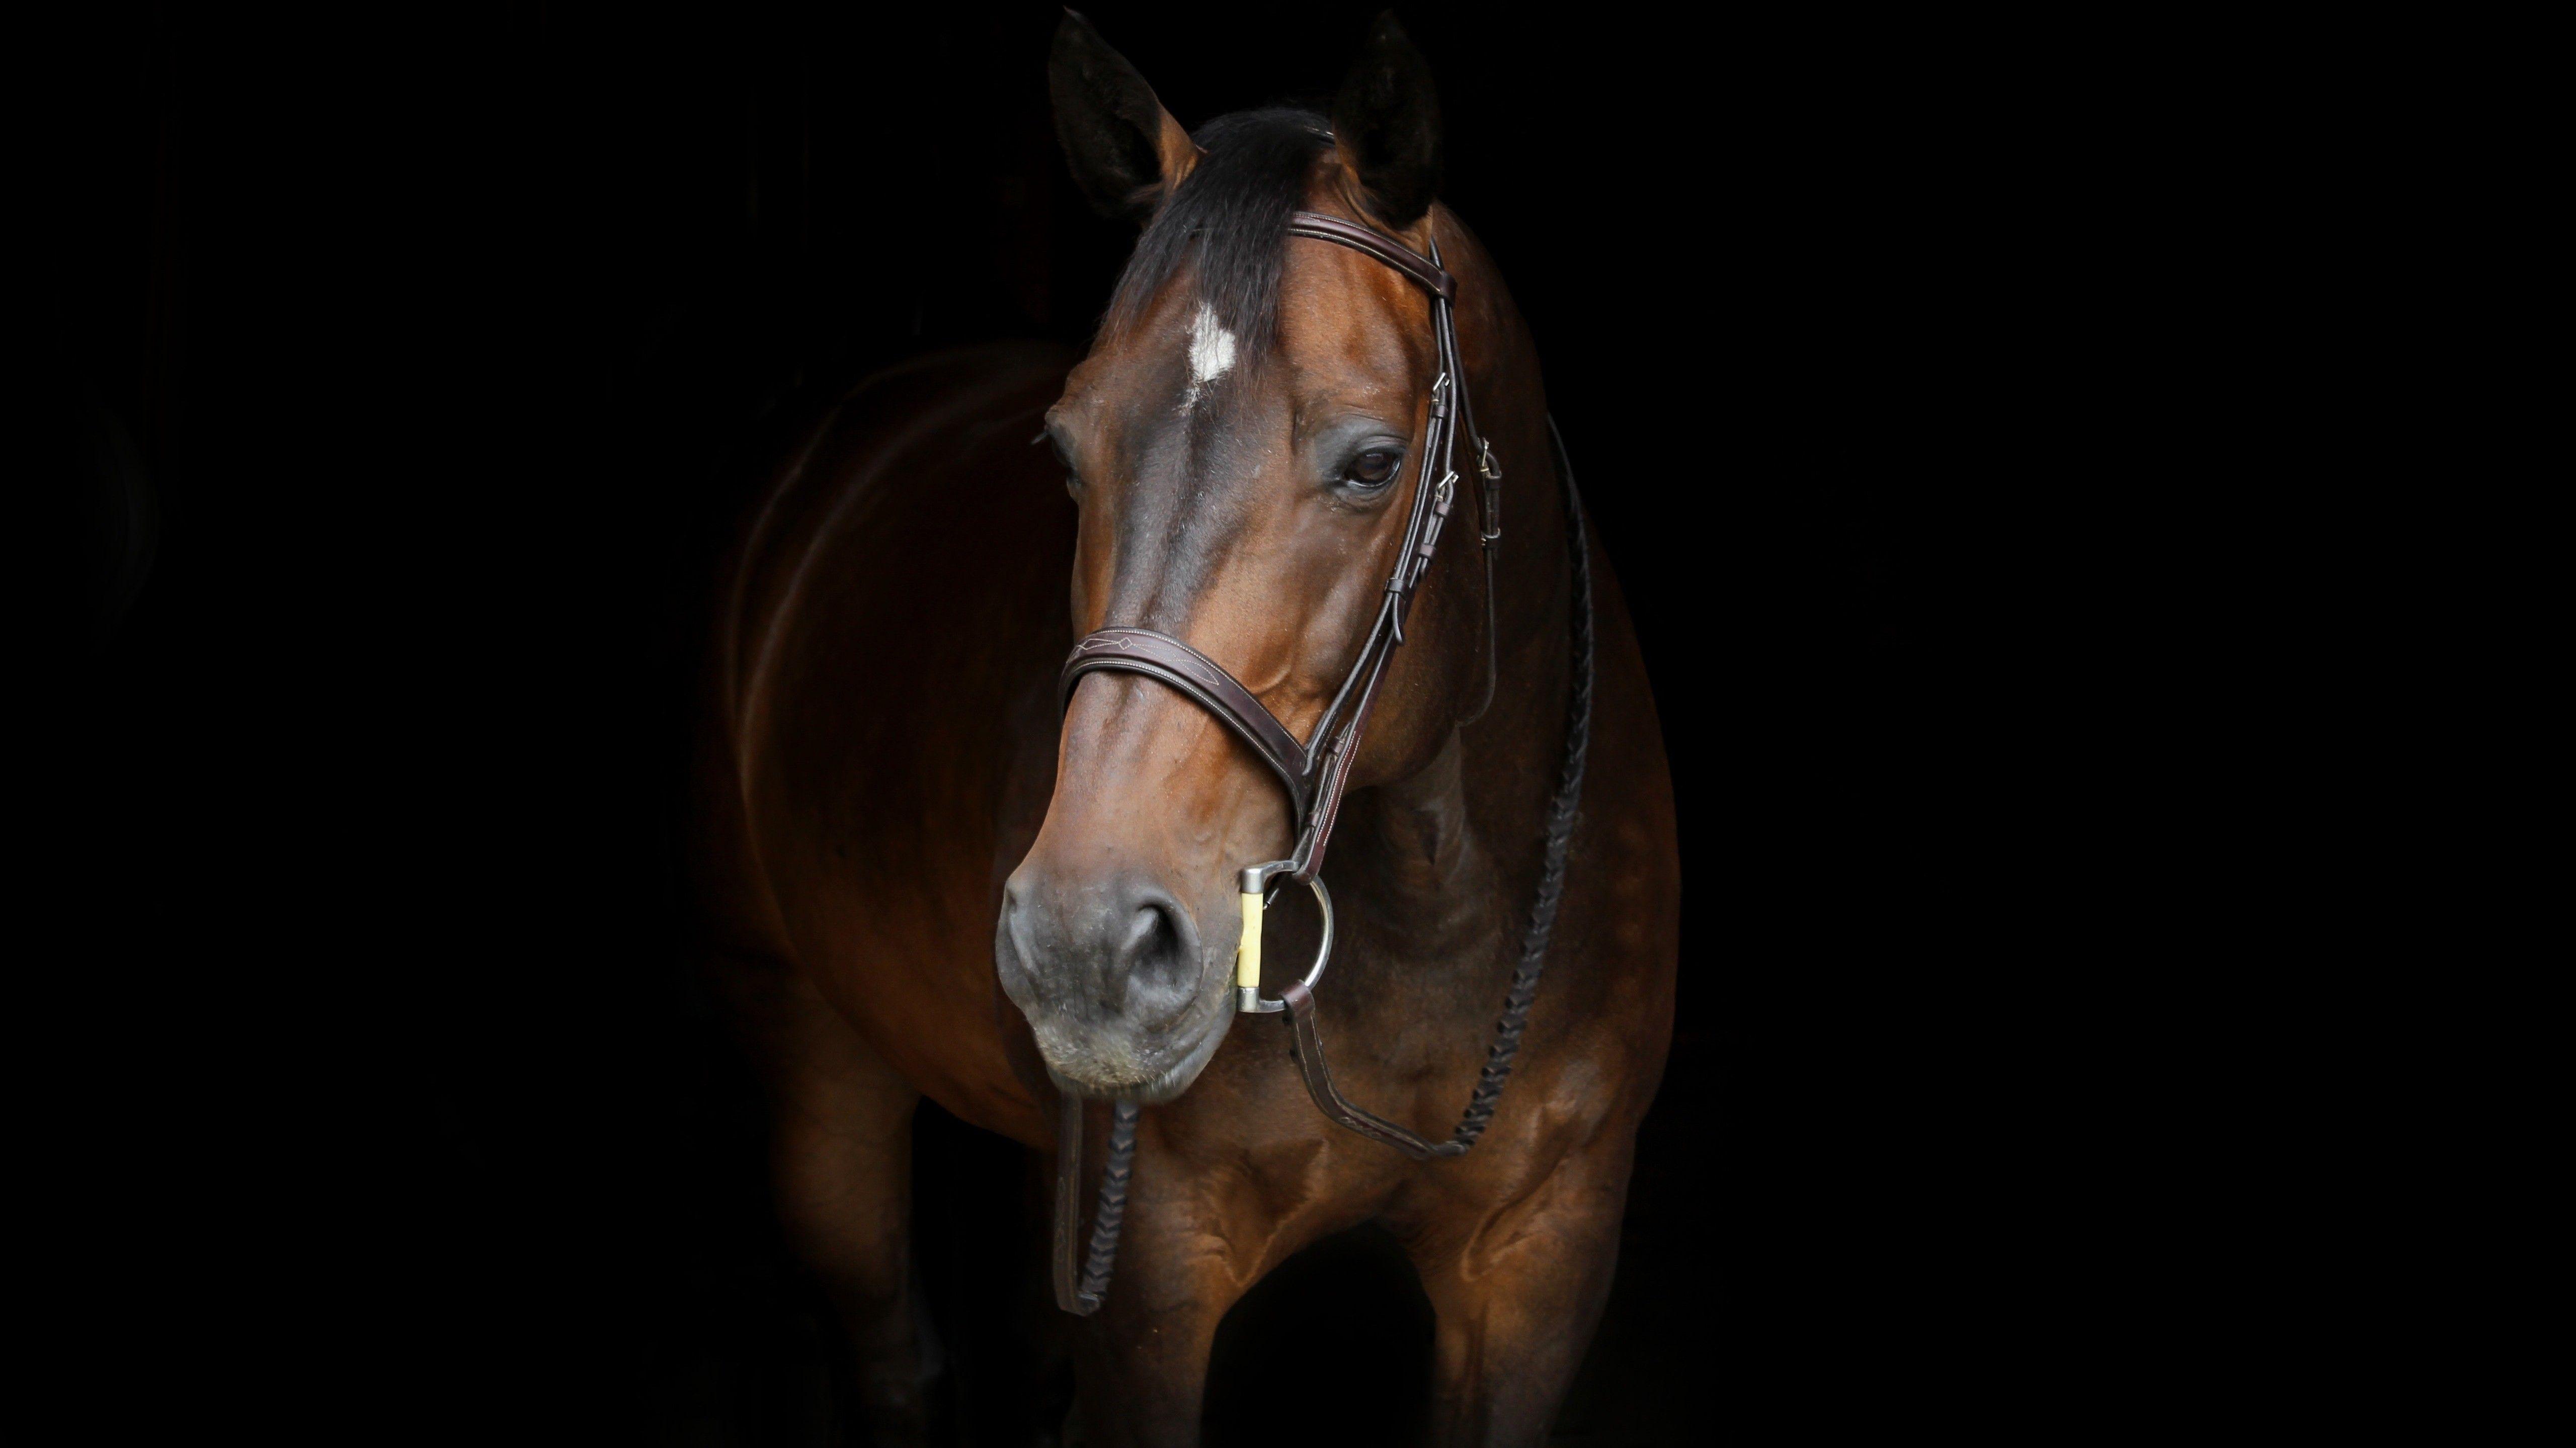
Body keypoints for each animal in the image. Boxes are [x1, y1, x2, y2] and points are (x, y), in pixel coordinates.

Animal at [696, 14, 1677, 1444]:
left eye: (1374, 463)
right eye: (1064, 451)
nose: (1084, 943)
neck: (1437, 905)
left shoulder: (1543, 1261)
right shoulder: (1155, 1286)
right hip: (813, 1050)